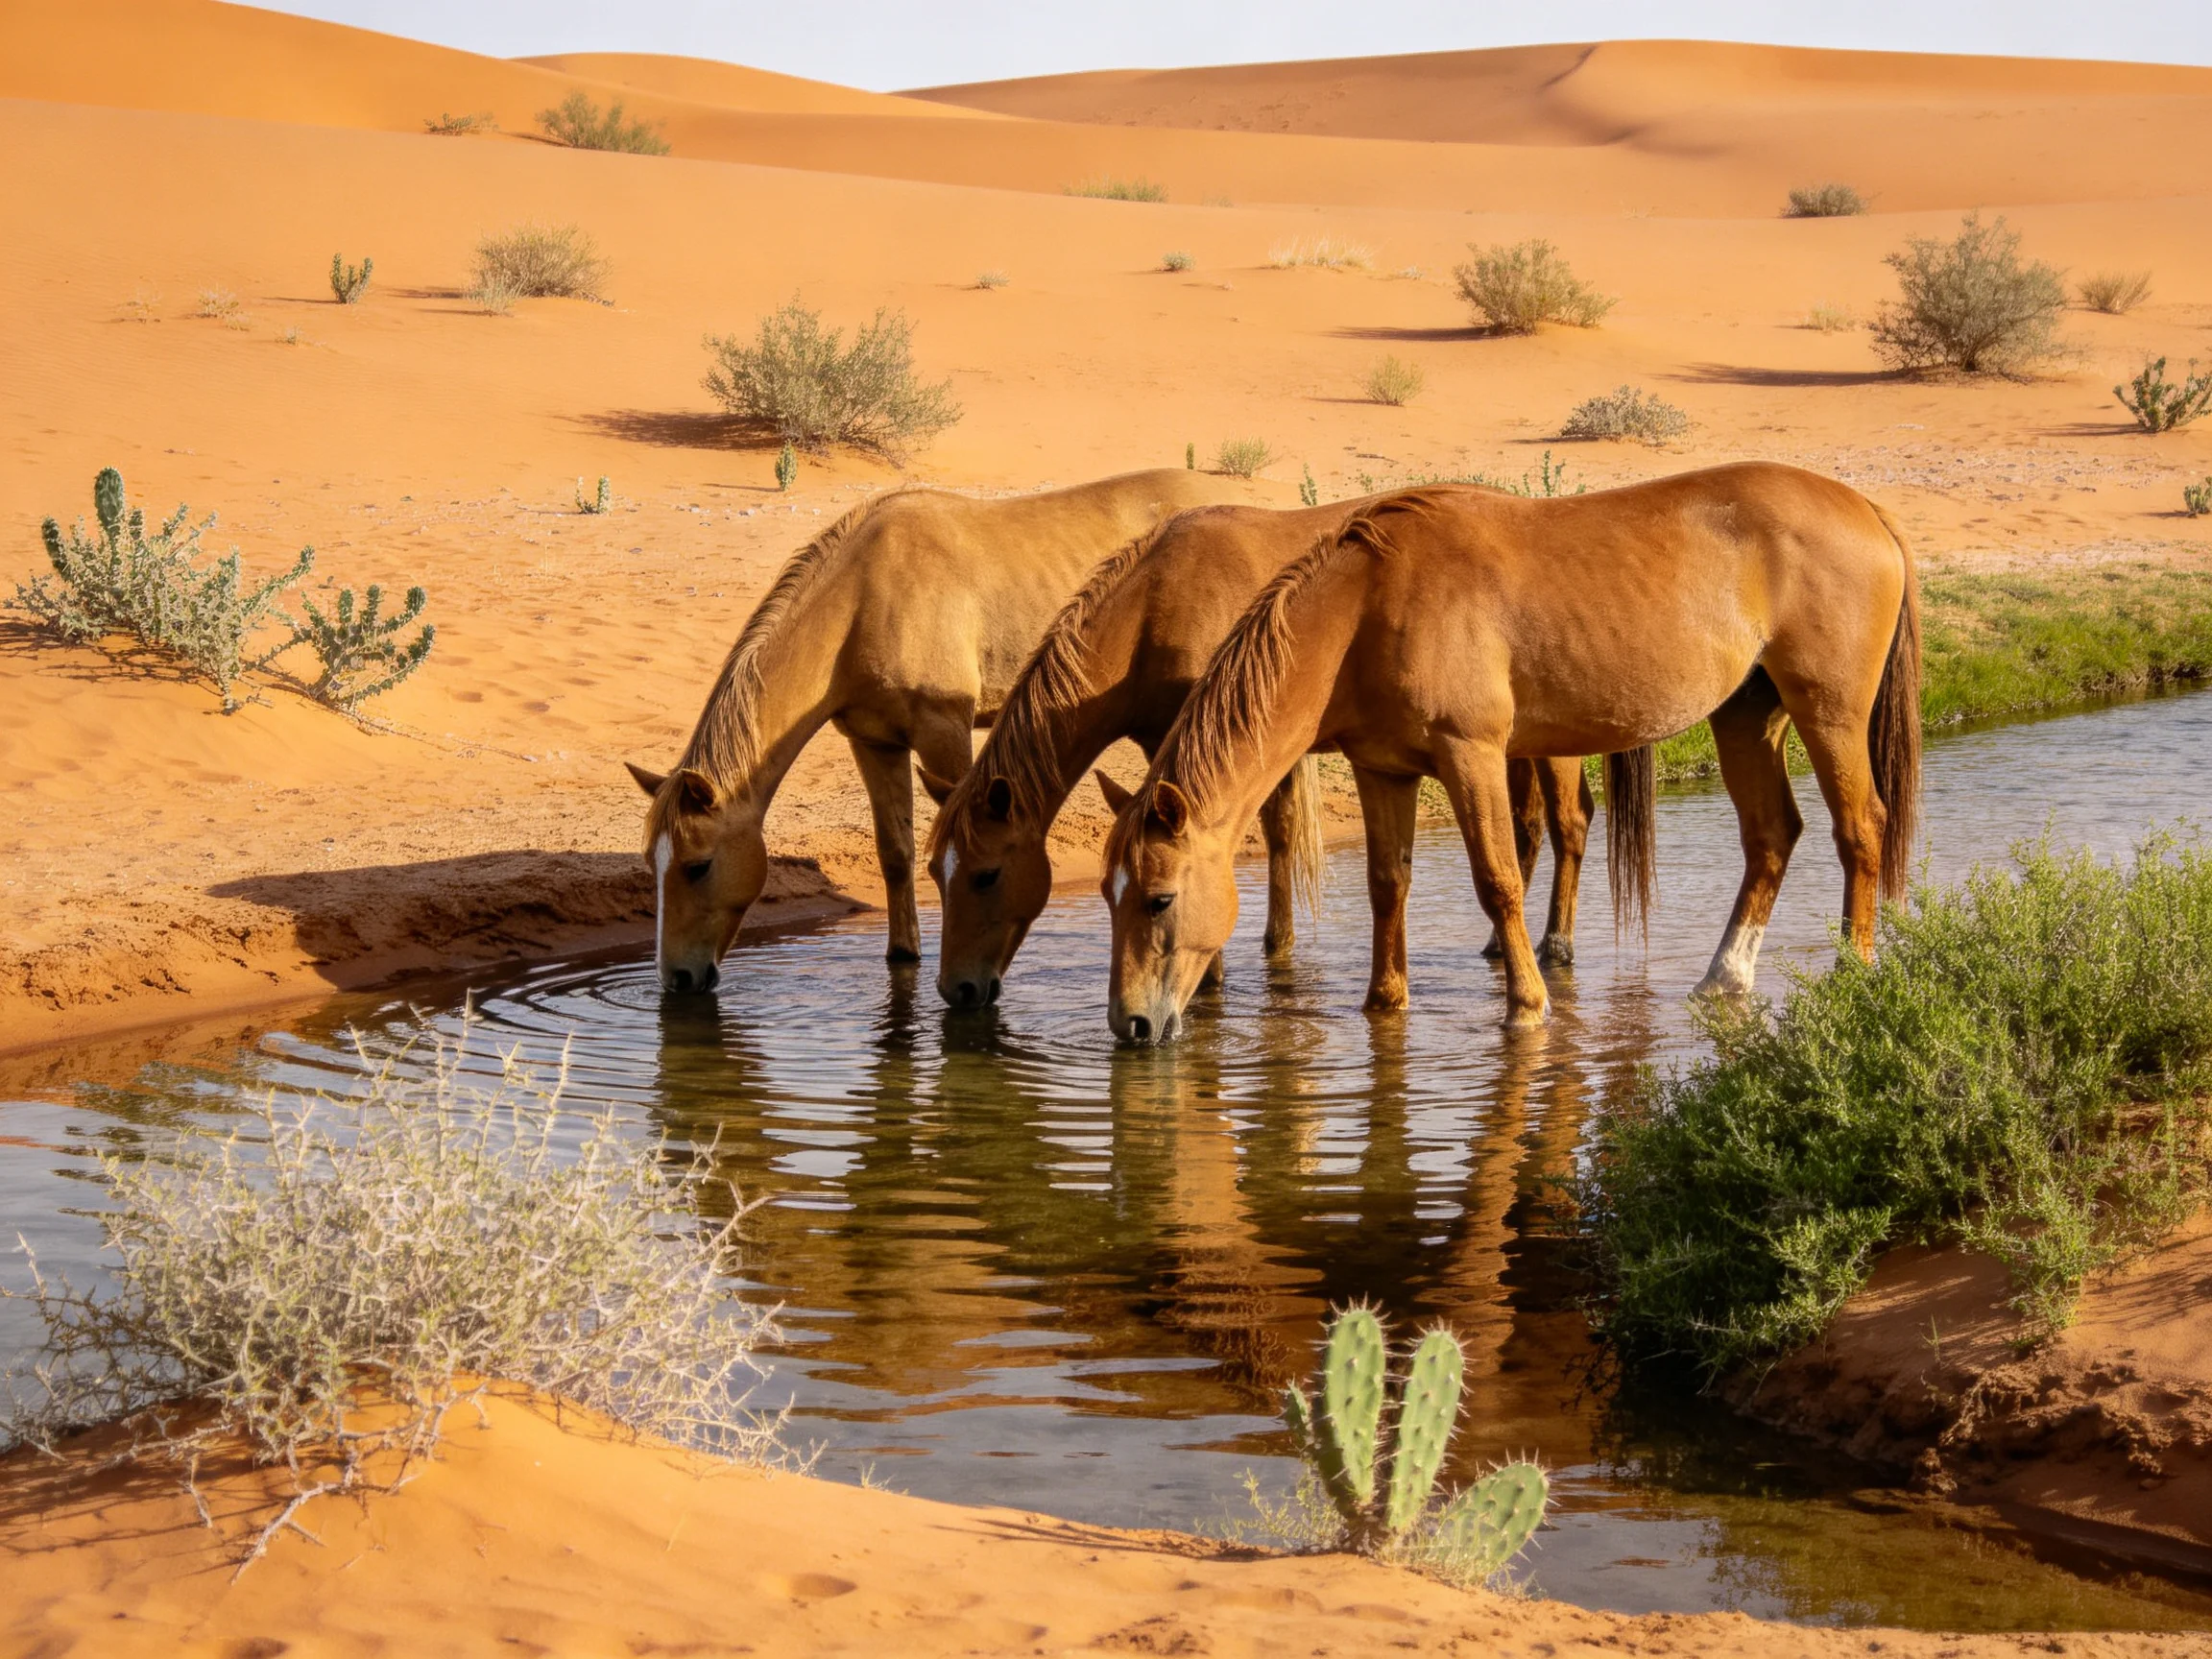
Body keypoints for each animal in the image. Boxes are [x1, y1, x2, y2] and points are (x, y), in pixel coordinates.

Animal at [627, 469, 1244, 993]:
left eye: (697, 866)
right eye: (651, 865)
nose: (676, 978)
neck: (866, 598)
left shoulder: (945, 729)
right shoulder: (874, 742)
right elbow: (895, 852)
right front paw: (904, 956)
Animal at [923, 494, 1595, 1010]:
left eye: (986, 874)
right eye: (936, 873)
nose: (958, 990)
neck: (1158, 604)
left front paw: (1211, 978)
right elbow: (1270, 835)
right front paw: (1271, 947)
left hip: (1550, 744)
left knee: (1569, 823)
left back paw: (1556, 946)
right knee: (1533, 824)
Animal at [1097, 463, 1920, 1041]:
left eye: (1159, 898)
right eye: (1109, 896)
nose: (1132, 1025)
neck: (1368, 609)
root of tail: (1867, 510)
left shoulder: (1472, 755)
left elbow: (1497, 880)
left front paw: (1527, 1004)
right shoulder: (1382, 770)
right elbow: (1387, 884)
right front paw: (1383, 1001)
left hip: (1829, 714)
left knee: (1861, 829)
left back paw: (1854, 971)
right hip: (1746, 717)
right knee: (1772, 836)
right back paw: (1724, 978)